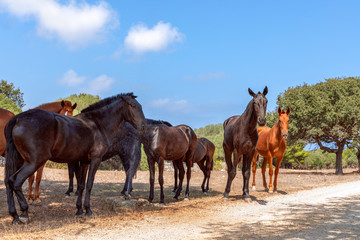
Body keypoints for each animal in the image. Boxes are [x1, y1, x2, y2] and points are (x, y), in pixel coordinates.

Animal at [3, 93, 145, 224]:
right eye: (132, 106)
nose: (143, 127)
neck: (97, 125)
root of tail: (18, 118)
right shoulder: (95, 160)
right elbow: (89, 184)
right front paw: (88, 210)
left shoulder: (84, 162)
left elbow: (81, 185)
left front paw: (79, 210)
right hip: (33, 162)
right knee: (16, 181)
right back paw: (24, 212)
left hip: (19, 160)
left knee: (9, 181)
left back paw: (15, 215)